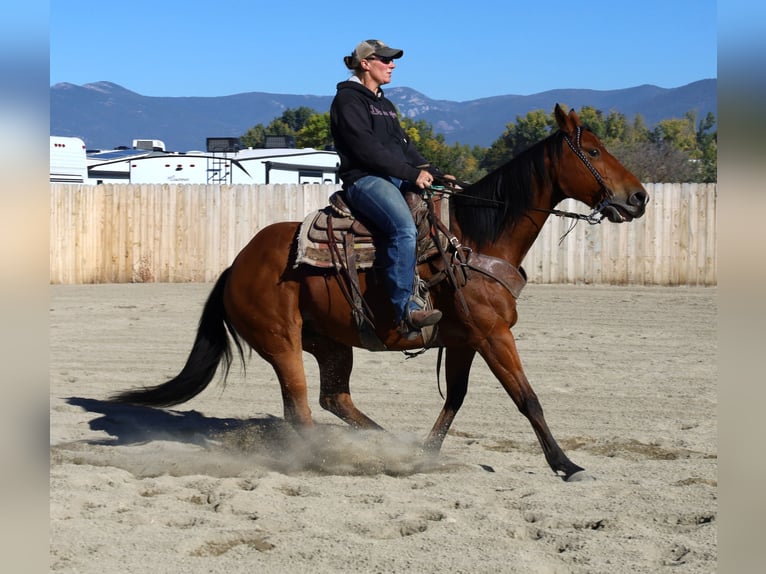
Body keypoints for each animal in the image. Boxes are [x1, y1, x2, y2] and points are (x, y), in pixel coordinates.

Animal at [111, 104, 649, 481]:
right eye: (593, 152)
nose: (639, 197)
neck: (477, 239)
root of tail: (234, 266)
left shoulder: (464, 339)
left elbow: (456, 397)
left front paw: (426, 454)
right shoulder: (493, 334)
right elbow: (527, 398)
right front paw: (567, 465)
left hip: (331, 342)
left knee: (334, 399)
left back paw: (385, 445)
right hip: (282, 342)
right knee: (302, 409)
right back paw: (328, 458)